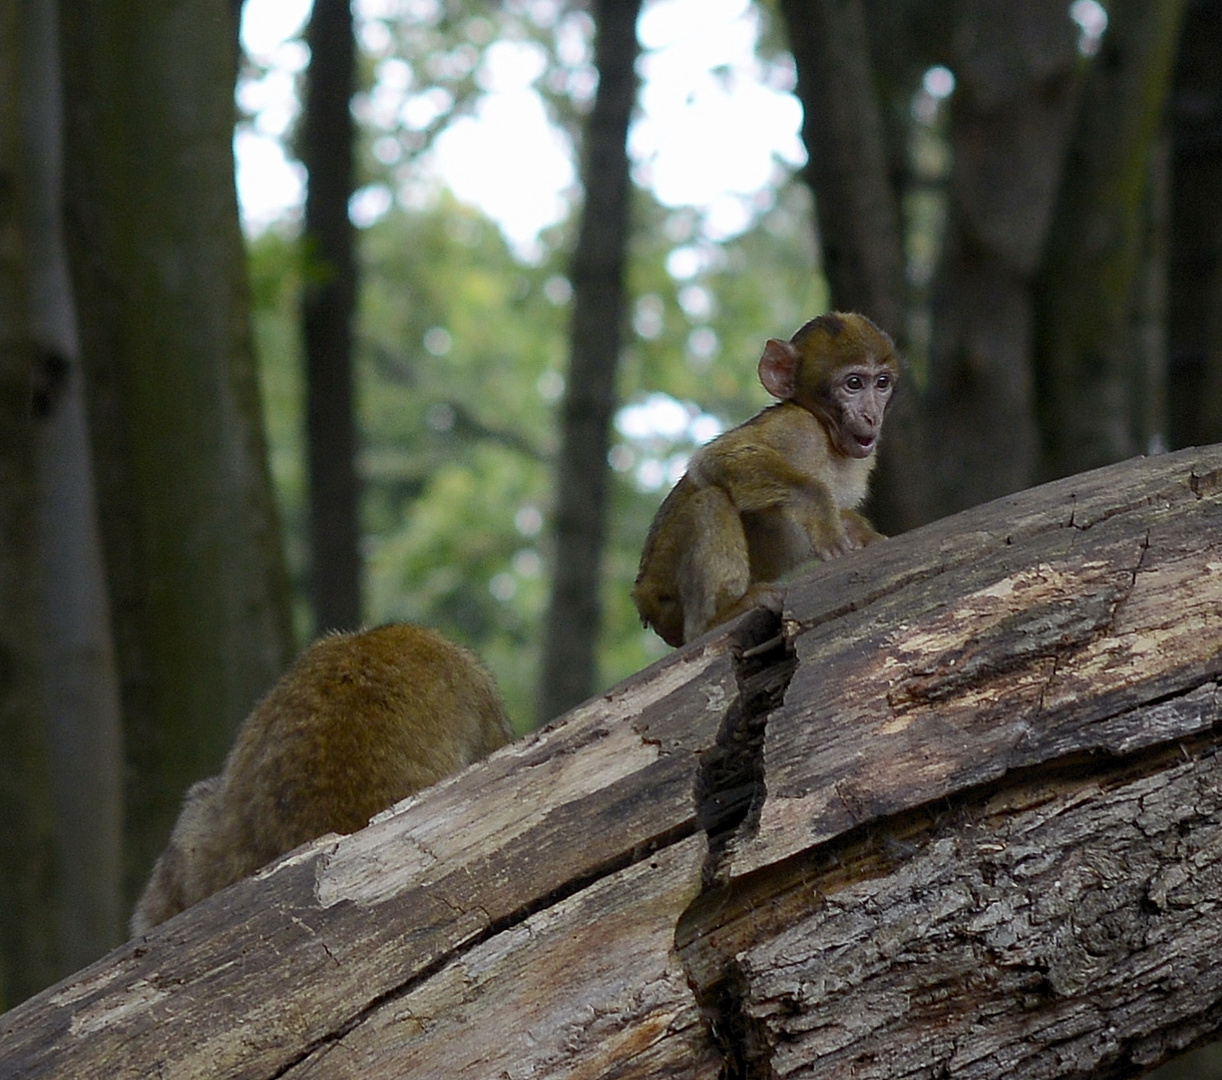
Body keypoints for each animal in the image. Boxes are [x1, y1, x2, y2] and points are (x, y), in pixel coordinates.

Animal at [630, 312, 899, 649]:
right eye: (854, 384)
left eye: (882, 383)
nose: (872, 416)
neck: (827, 433)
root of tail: (642, 598)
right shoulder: (796, 429)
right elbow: (714, 460)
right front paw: (824, 517)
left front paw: (863, 535)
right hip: (664, 592)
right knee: (709, 501)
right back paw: (715, 620)